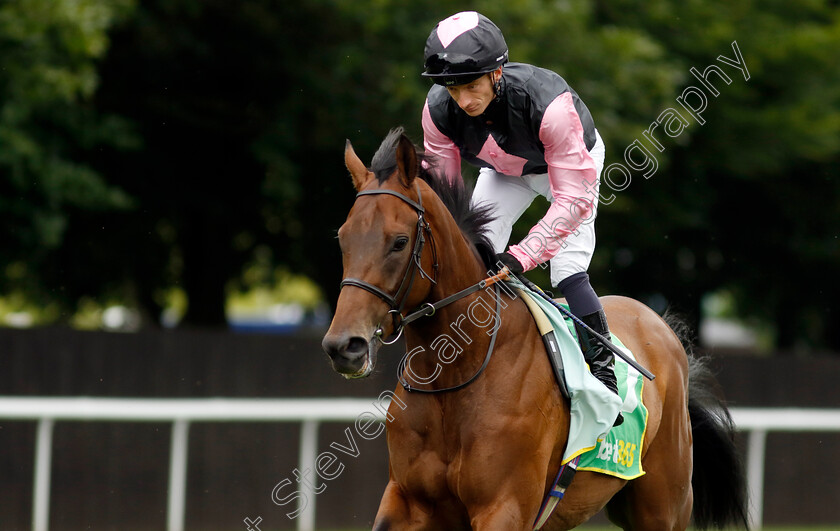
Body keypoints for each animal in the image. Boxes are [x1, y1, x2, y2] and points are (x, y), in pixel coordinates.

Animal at [322, 129, 748, 531]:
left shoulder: (505, 508)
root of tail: (660, 326)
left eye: (398, 242)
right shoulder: (406, 502)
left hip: (662, 507)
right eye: (342, 237)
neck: (455, 377)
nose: (345, 346)